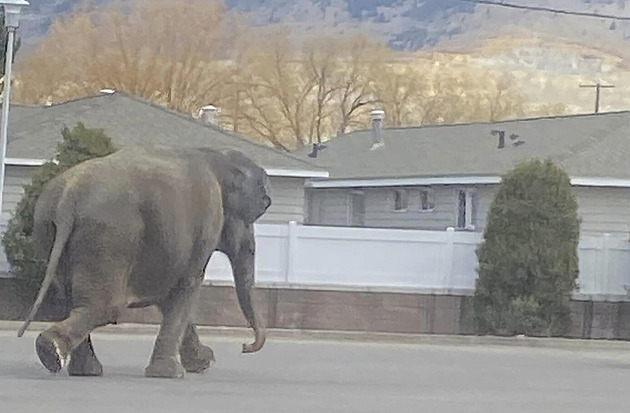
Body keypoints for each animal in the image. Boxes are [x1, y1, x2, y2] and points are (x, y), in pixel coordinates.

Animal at [16, 144, 272, 376]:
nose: (244, 346)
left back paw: (81, 369)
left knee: (73, 301)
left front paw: (201, 362)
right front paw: (173, 373)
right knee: (103, 307)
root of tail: (70, 196)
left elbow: (168, 296)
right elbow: (188, 285)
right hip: (111, 235)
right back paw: (52, 352)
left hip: (51, 232)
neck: (216, 155)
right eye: (251, 217)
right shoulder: (206, 223)